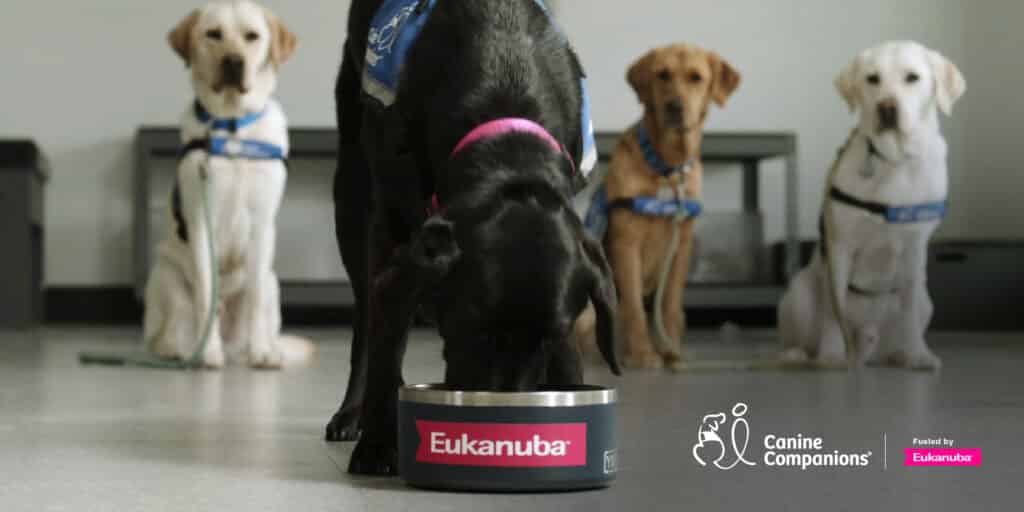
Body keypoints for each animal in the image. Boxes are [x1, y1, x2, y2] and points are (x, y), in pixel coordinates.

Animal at [143, 0, 311, 368]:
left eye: (252, 36)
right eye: (213, 34)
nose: (234, 61)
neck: (234, 126)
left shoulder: (262, 225)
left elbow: (255, 299)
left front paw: (263, 353)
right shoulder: (200, 221)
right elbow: (206, 292)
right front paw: (208, 352)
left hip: (273, 281)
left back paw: (259, 348)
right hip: (165, 275)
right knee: (170, 328)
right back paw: (183, 350)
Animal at [325, 0, 614, 475]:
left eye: (548, 337)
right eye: (470, 326)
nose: (501, 421)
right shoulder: (391, 229)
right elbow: (386, 336)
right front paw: (378, 444)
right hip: (351, 194)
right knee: (366, 314)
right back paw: (352, 413)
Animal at [577, 44, 737, 370]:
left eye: (696, 77)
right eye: (662, 74)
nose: (675, 107)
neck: (667, 168)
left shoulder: (681, 247)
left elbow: (670, 307)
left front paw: (672, 353)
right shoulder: (626, 243)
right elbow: (634, 309)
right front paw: (643, 355)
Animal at [778, 39, 962, 368]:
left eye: (912, 77)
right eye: (872, 78)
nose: (887, 108)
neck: (894, 161)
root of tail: (869, 349)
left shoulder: (915, 248)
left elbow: (909, 310)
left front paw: (918, 355)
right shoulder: (840, 247)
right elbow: (833, 310)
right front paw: (832, 355)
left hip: (926, 301)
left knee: (900, 329)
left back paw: (899, 353)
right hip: (798, 295)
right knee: (801, 338)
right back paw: (800, 355)